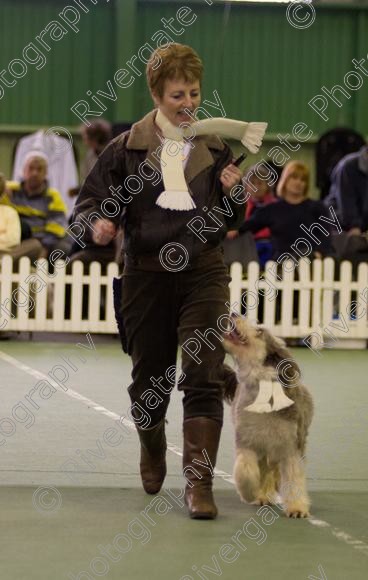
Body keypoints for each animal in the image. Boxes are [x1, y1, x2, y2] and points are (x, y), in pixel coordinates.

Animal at [221, 314, 314, 520]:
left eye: (259, 331)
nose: (234, 314)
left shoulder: (291, 446)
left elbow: (294, 478)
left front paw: (296, 508)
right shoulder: (248, 441)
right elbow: (245, 470)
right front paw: (250, 493)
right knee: (265, 470)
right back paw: (262, 495)